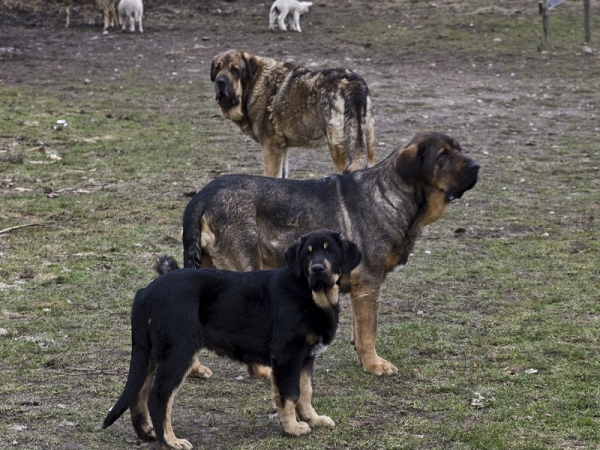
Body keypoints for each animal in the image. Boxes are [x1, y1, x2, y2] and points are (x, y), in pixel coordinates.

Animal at [102, 230, 360, 448]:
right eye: (307, 254)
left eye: (330, 252)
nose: (317, 268)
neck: (311, 293)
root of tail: (145, 292)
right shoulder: (287, 356)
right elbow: (289, 394)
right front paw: (292, 428)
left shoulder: (306, 357)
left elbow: (306, 392)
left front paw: (313, 419)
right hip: (178, 352)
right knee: (158, 397)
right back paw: (171, 441)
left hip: (152, 354)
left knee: (139, 394)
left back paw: (147, 433)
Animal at [183, 132, 478, 378]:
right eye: (443, 155)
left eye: (459, 149)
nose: (476, 166)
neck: (391, 195)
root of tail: (201, 197)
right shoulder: (369, 283)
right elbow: (369, 332)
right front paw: (375, 365)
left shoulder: (361, 290)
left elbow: (360, 331)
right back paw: (262, 371)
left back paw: (195, 369)